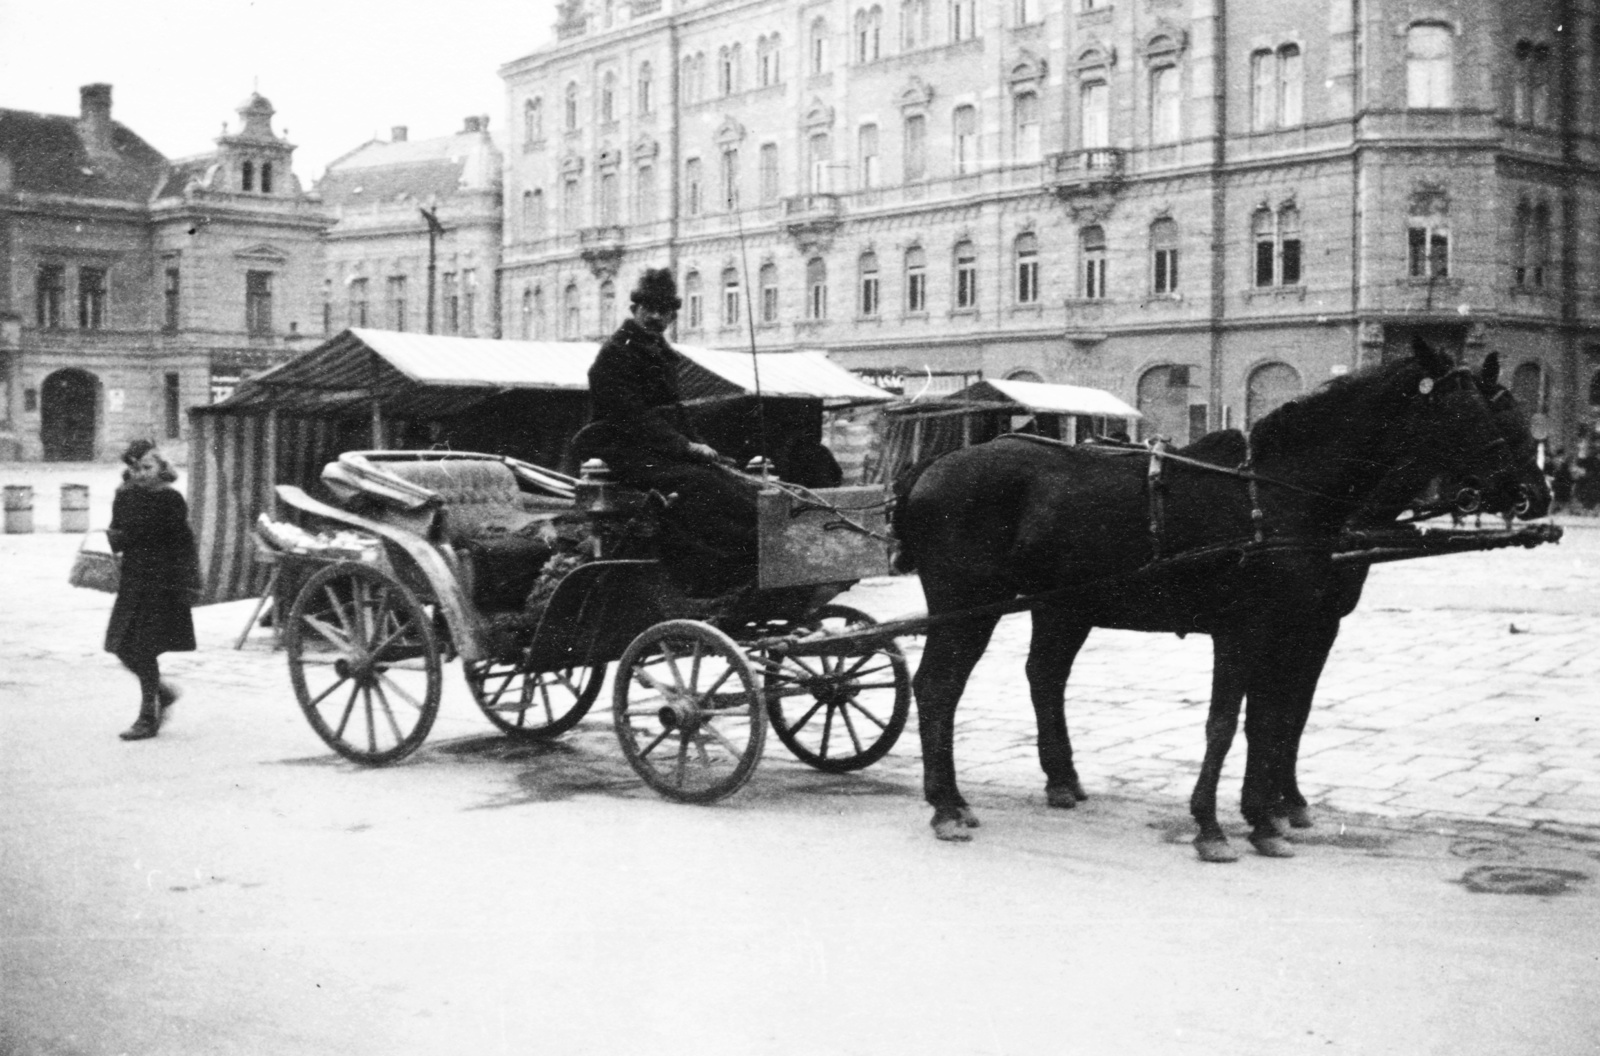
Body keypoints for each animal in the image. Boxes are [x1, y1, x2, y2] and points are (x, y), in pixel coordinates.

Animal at [902, 342, 1523, 851]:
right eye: (1466, 411)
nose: (1526, 494)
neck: (1275, 494)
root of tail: (933, 467)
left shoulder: (1295, 627)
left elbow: (1274, 718)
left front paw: (1267, 816)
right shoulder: (1246, 629)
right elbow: (1230, 722)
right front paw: (1214, 825)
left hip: (1057, 606)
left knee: (1036, 678)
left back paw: (1033, 786)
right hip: (967, 609)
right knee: (937, 688)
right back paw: (946, 805)